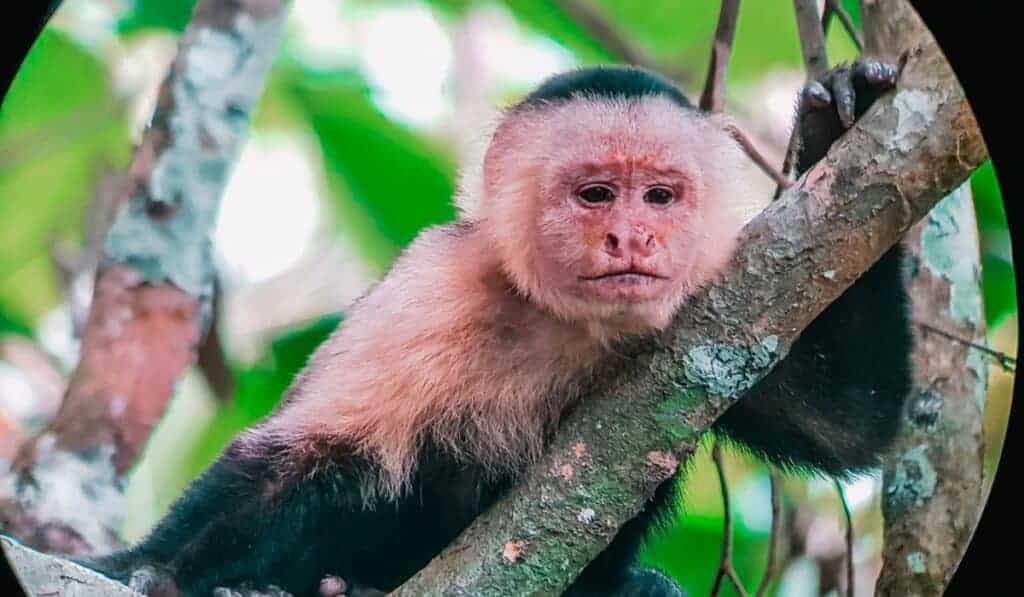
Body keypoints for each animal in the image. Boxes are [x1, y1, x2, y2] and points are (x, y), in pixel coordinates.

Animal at [81, 59, 913, 597]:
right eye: (596, 194)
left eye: (659, 195)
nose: (632, 239)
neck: (570, 323)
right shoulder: (434, 282)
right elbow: (302, 455)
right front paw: (148, 569)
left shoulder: (716, 300)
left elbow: (845, 418)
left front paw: (836, 123)